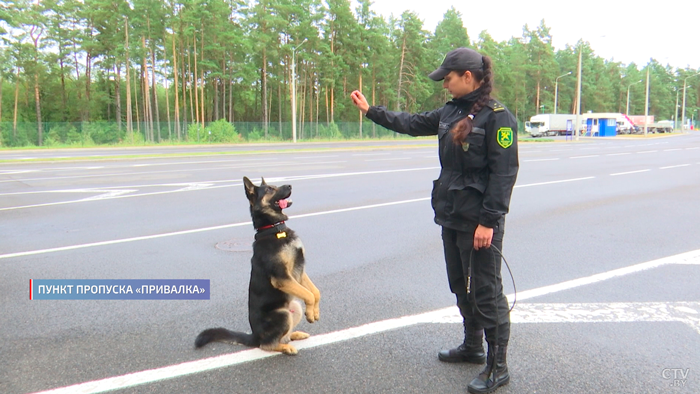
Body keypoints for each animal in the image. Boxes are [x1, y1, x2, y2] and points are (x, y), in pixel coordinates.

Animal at [194, 177, 320, 356]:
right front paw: (310, 313)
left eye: (273, 186)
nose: (290, 185)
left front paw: (314, 312)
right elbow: (308, 295)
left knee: (281, 337)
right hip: (282, 315)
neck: (274, 229)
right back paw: (285, 347)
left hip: (294, 306)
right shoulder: (282, 278)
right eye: (269, 190)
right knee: (267, 345)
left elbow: (315, 292)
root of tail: (254, 336)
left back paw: (294, 335)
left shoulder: (299, 271)